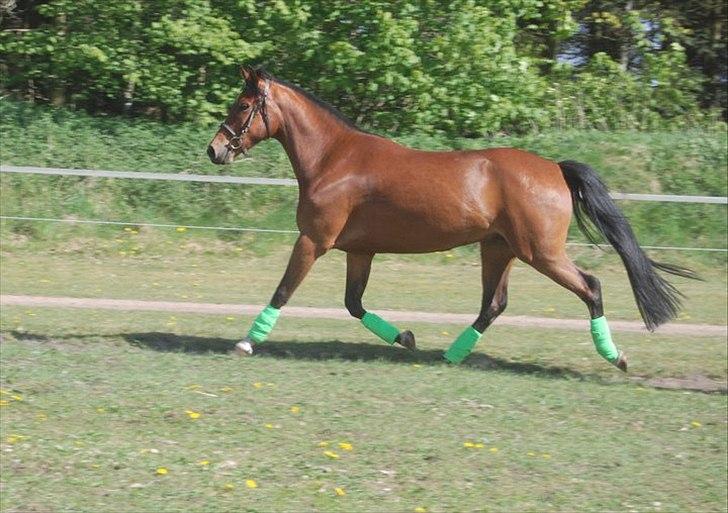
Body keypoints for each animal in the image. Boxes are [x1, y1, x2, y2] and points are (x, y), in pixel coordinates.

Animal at [205, 66, 692, 370]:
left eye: (242, 105)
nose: (215, 150)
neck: (333, 160)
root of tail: (554, 168)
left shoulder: (313, 241)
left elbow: (283, 291)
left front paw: (246, 342)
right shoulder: (359, 251)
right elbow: (353, 303)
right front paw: (405, 338)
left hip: (541, 252)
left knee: (590, 288)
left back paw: (616, 357)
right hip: (499, 249)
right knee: (493, 305)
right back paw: (453, 355)